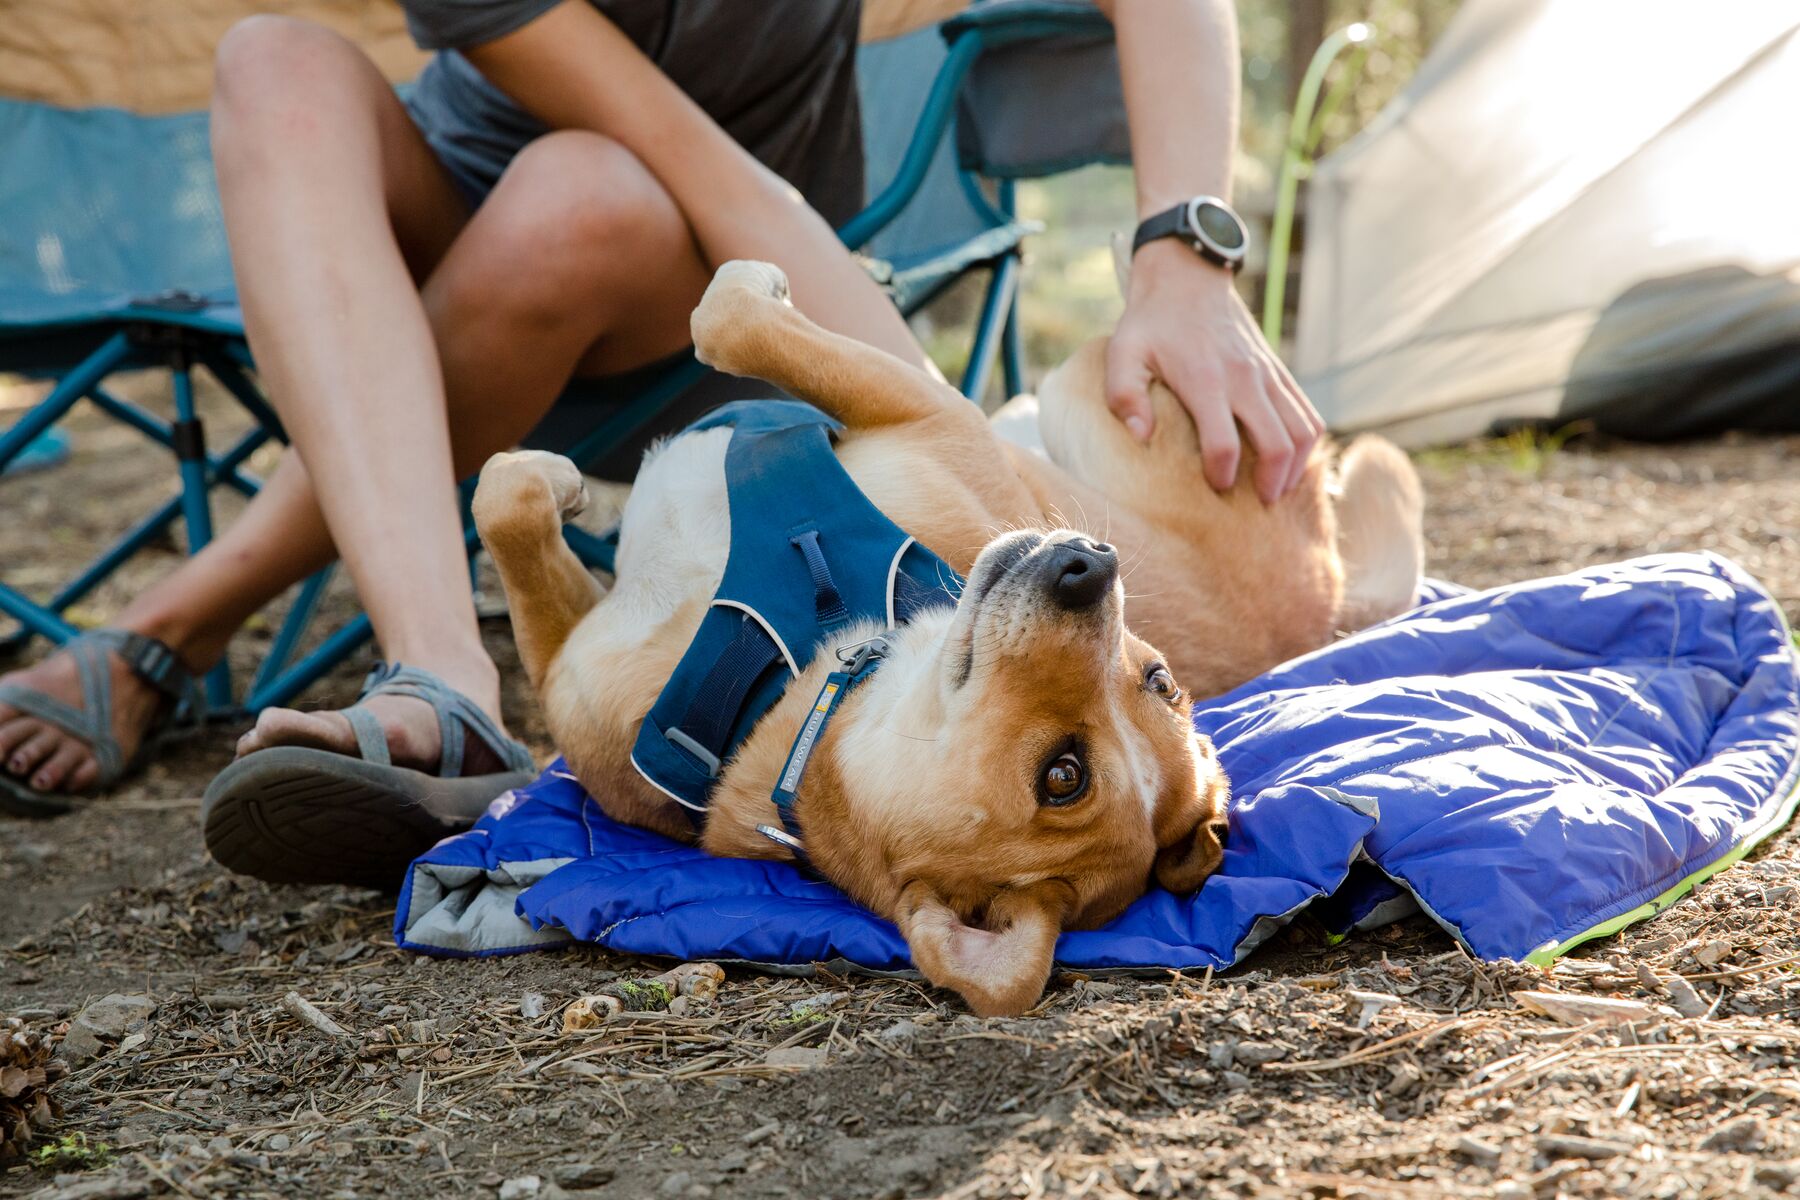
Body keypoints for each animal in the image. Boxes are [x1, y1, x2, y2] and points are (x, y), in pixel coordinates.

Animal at [471, 260, 1425, 1014]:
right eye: (1161, 681)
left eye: (1063, 776)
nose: (1089, 566)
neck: (781, 680)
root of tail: (1329, 583)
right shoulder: (568, 667)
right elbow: (503, 503)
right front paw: (552, 484)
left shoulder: (926, 409)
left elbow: (730, 319)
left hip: (1092, 389)